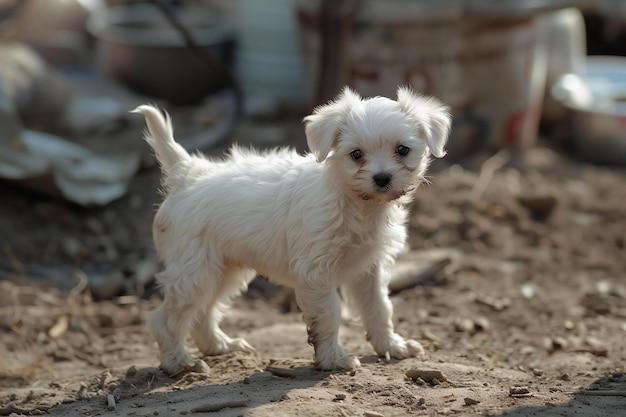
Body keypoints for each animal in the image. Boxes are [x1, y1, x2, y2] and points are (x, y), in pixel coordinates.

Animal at [132, 87, 448, 374]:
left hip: (224, 268)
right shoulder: (316, 272)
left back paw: (219, 346)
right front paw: (333, 359)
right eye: (356, 154)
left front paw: (392, 346)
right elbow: (329, 315)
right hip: (195, 270)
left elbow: (380, 308)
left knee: (203, 312)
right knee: (166, 317)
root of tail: (188, 172)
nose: (382, 178)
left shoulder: (370, 268)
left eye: (402, 150)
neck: (356, 203)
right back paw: (177, 362)